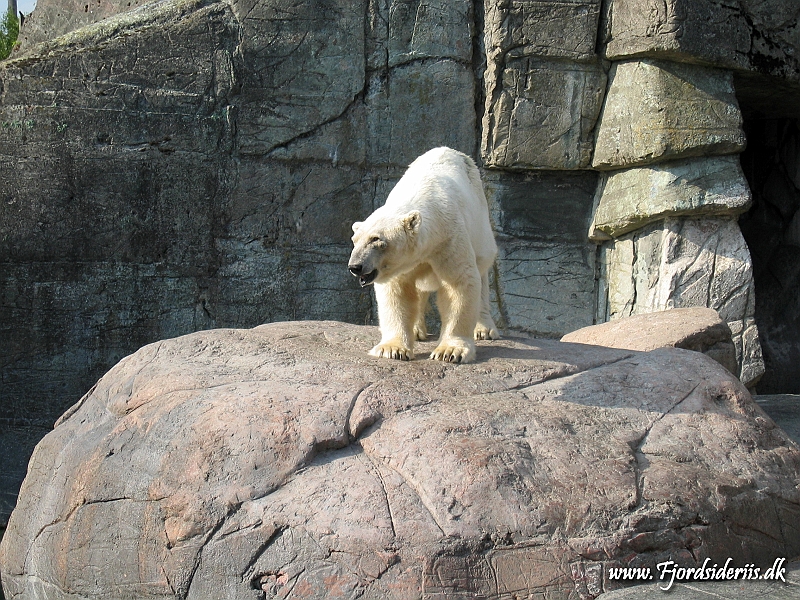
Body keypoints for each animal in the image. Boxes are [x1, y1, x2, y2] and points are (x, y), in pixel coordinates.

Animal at [346, 146, 496, 360]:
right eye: (355, 240)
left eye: (377, 240)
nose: (355, 267)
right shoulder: (404, 263)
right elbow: (397, 291)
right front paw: (392, 349)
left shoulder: (448, 238)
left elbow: (459, 283)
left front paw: (450, 351)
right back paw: (416, 330)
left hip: (480, 223)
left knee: (482, 269)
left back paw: (484, 328)